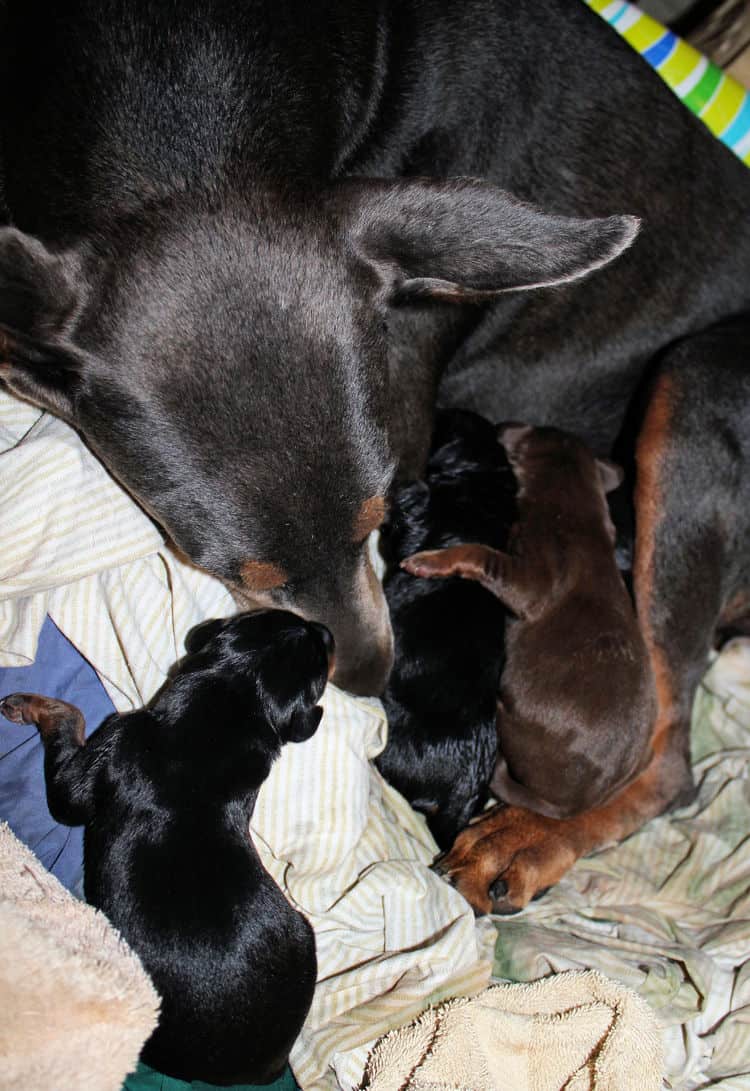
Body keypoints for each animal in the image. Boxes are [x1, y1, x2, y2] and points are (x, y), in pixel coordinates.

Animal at [0, 610, 334, 1086]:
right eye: (286, 619)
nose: (326, 630)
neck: (226, 708)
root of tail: (262, 1069)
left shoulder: (104, 750)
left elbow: (70, 731)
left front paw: (31, 704)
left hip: (301, 932)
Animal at [403, 425, 655, 824]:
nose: (499, 427)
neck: (577, 510)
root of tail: (572, 807)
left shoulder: (531, 578)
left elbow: (478, 552)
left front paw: (428, 561)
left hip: (508, 718)